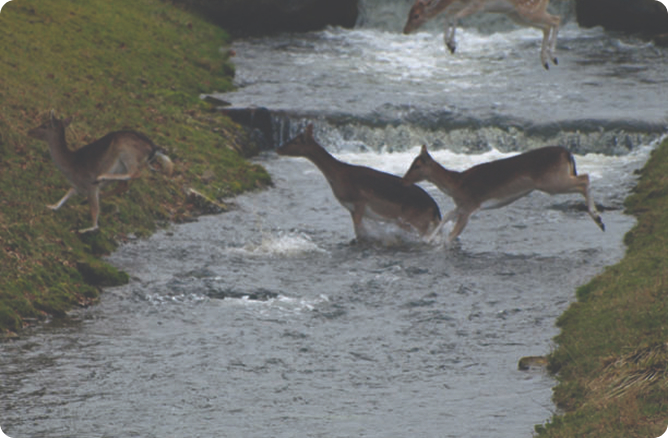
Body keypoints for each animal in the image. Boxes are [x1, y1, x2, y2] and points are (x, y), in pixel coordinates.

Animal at [28, 111, 174, 233]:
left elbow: (94, 213)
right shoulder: (79, 185)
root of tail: (154, 148)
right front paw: (51, 206)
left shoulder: (89, 184)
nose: (30, 131)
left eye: (45, 125)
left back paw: (102, 177)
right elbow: (69, 192)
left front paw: (86, 229)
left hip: (128, 153)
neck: (71, 166)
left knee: (135, 174)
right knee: (124, 184)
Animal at [276, 124, 442, 241]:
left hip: (416, 221)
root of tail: (436, 211)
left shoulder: (359, 201)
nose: (278, 149)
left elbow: (359, 233)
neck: (338, 176)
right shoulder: (351, 208)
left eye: (297, 141)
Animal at [402, 145, 605, 244]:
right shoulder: (462, 205)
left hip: (552, 181)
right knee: (583, 178)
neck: (456, 184)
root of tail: (567, 153)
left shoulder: (470, 204)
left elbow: (453, 233)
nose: (404, 179)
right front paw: (428, 239)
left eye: (417, 165)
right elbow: (446, 217)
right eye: (411, 162)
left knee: (585, 179)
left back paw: (599, 220)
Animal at [403, 0, 561, 69]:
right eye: (409, 13)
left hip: (527, 10)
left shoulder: (477, 5)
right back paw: (550, 59)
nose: (405, 30)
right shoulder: (460, 6)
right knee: (550, 23)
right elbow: (448, 15)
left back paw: (549, 59)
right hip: (516, 15)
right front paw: (449, 44)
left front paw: (452, 44)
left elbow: (454, 16)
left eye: (416, 15)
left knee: (554, 20)